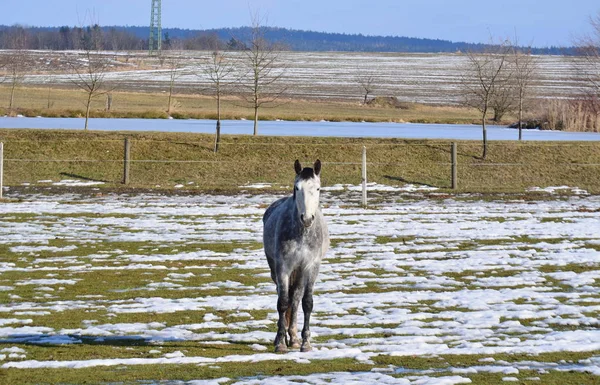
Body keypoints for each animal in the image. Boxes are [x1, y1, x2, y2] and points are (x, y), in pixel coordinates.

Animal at [262, 158, 328, 352]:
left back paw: (294, 337)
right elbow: (283, 302)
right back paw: (283, 336)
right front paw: (280, 342)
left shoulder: (311, 267)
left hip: (299, 272)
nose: (306, 219)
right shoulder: (283, 267)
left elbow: (307, 302)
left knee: (296, 298)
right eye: (297, 188)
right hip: (276, 270)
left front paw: (305, 342)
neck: (301, 233)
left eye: (318, 188)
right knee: (283, 297)